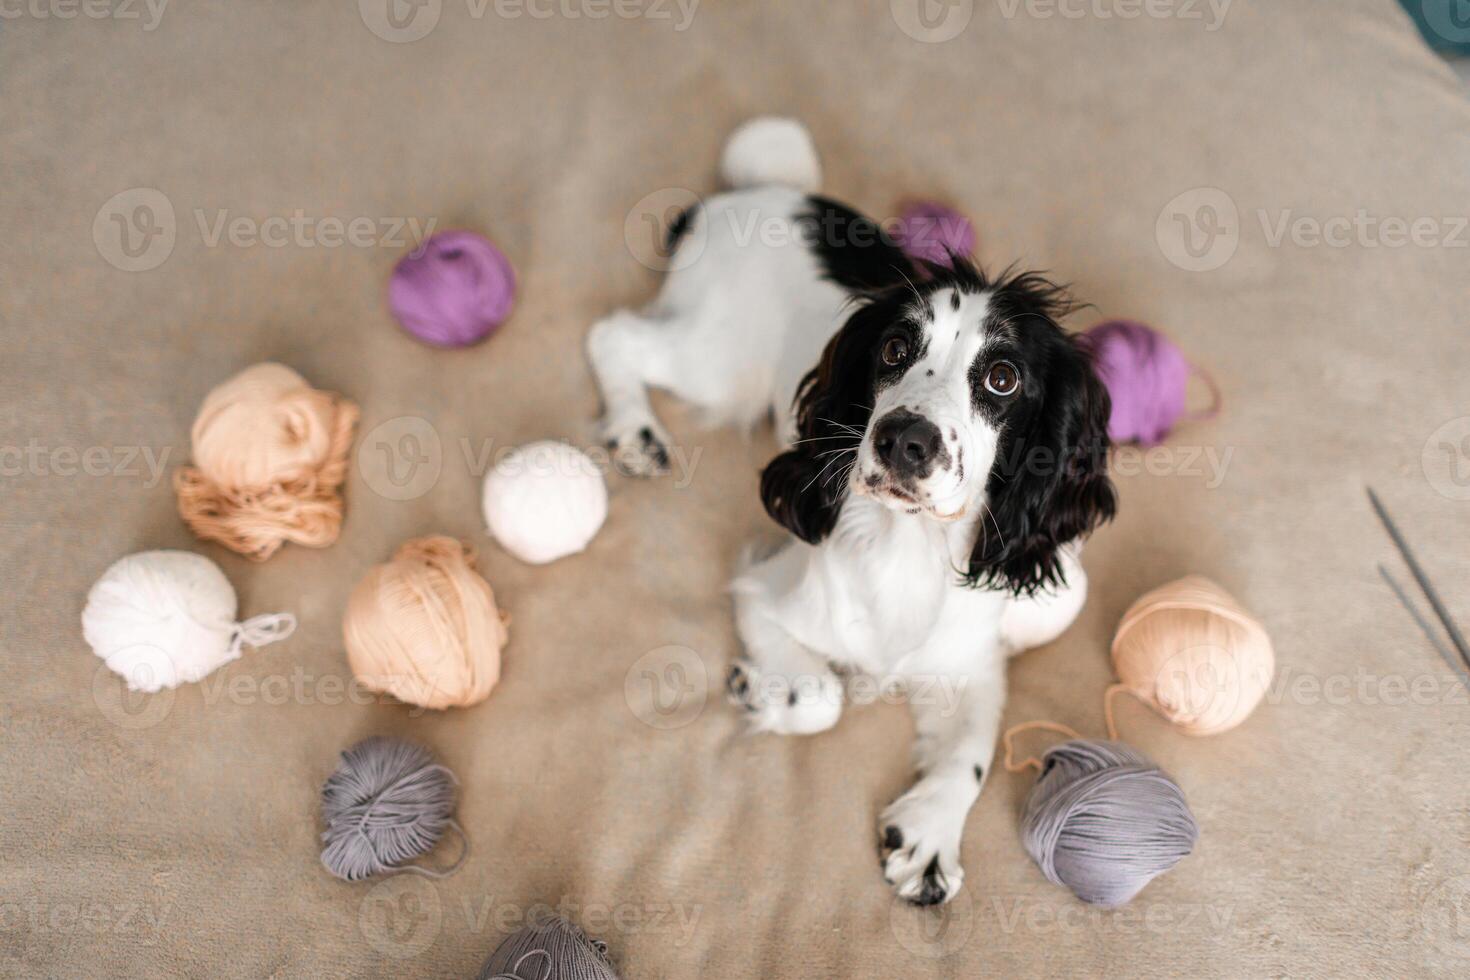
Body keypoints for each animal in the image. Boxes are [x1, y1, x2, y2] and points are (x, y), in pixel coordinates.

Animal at [585, 119, 1111, 910]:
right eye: (893, 348)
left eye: (1002, 377)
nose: (903, 440)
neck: (910, 546)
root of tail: (755, 194)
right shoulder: (766, 592)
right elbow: (822, 696)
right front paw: (762, 691)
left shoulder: (971, 663)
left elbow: (972, 752)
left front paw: (928, 840)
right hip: (718, 359)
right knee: (613, 335)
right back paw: (635, 430)